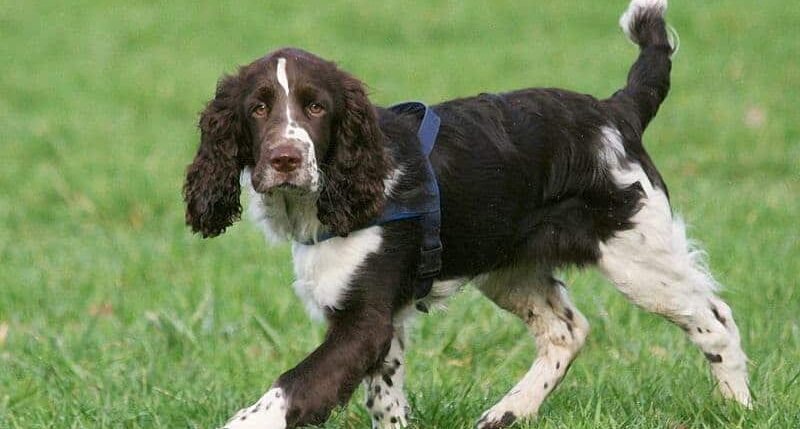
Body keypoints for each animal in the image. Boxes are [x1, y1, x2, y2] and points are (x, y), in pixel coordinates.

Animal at [184, 1, 752, 426]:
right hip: (509, 268)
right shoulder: (383, 323)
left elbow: (290, 389)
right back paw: (507, 412)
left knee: (714, 319)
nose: (286, 159)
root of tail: (617, 110)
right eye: (257, 108)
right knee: (566, 329)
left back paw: (738, 408)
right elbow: (384, 400)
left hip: (637, 253)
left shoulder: (364, 320)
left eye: (316, 107)